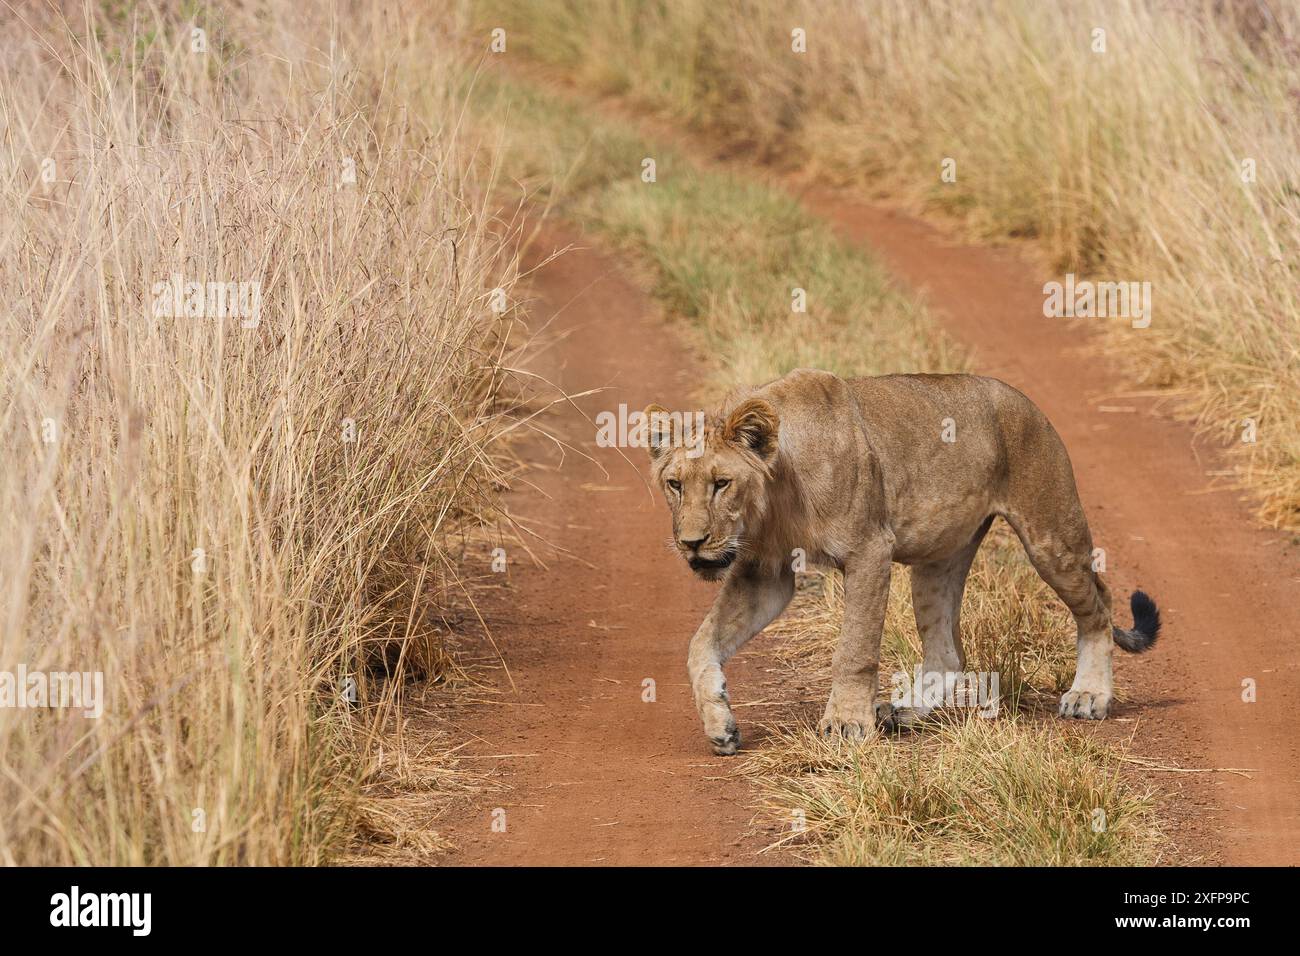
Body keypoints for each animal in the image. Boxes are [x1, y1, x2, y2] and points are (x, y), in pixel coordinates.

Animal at [644, 369, 1164, 759]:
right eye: (675, 484)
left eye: (721, 483)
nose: (692, 544)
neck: (777, 491)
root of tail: (1025, 401)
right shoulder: (764, 575)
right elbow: (701, 644)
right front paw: (720, 724)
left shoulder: (869, 550)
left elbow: (854, 649)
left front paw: (845, 724)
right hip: (936, 562)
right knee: (947, 654)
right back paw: (904, 712)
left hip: (1050, 534)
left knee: (1099, 606)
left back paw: (1089, 696)